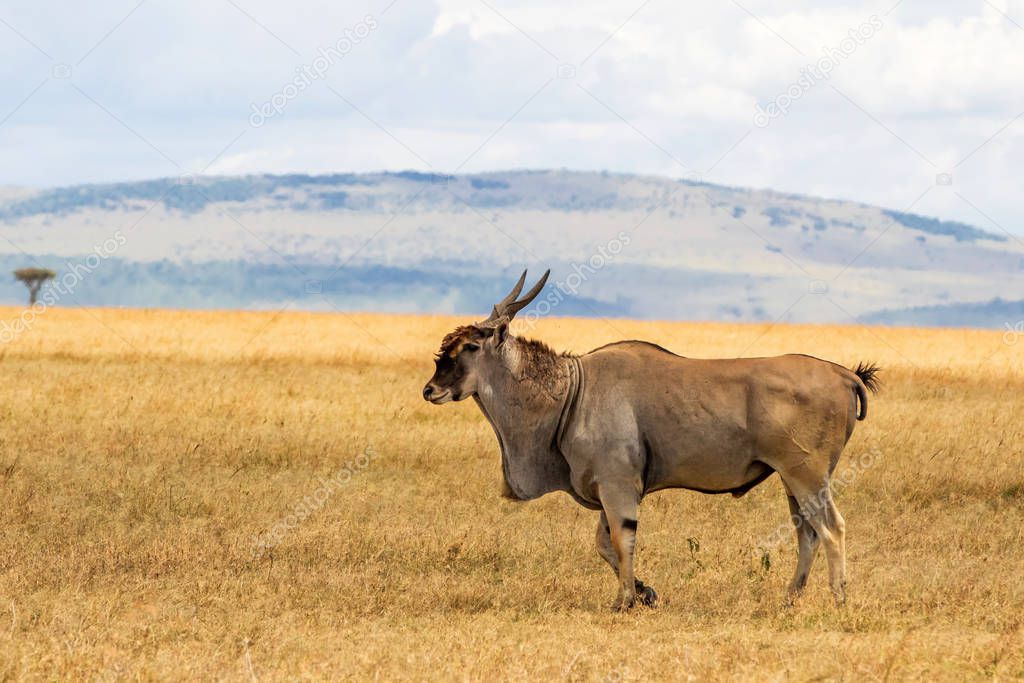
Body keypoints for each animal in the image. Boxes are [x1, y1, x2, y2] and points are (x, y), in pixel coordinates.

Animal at [423, 270, 880, 610]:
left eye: (470, 346)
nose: (430, 390)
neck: (573, 390)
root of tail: (844, 374)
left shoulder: (618, 486)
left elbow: (621, 541)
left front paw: (625, 600)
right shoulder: (610, 488)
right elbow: (604, 544)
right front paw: (646, 593)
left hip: (806, 475)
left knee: (832, 529)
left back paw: (839, 600)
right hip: (791, 480)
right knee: (808, 533)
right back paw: (790, 598)